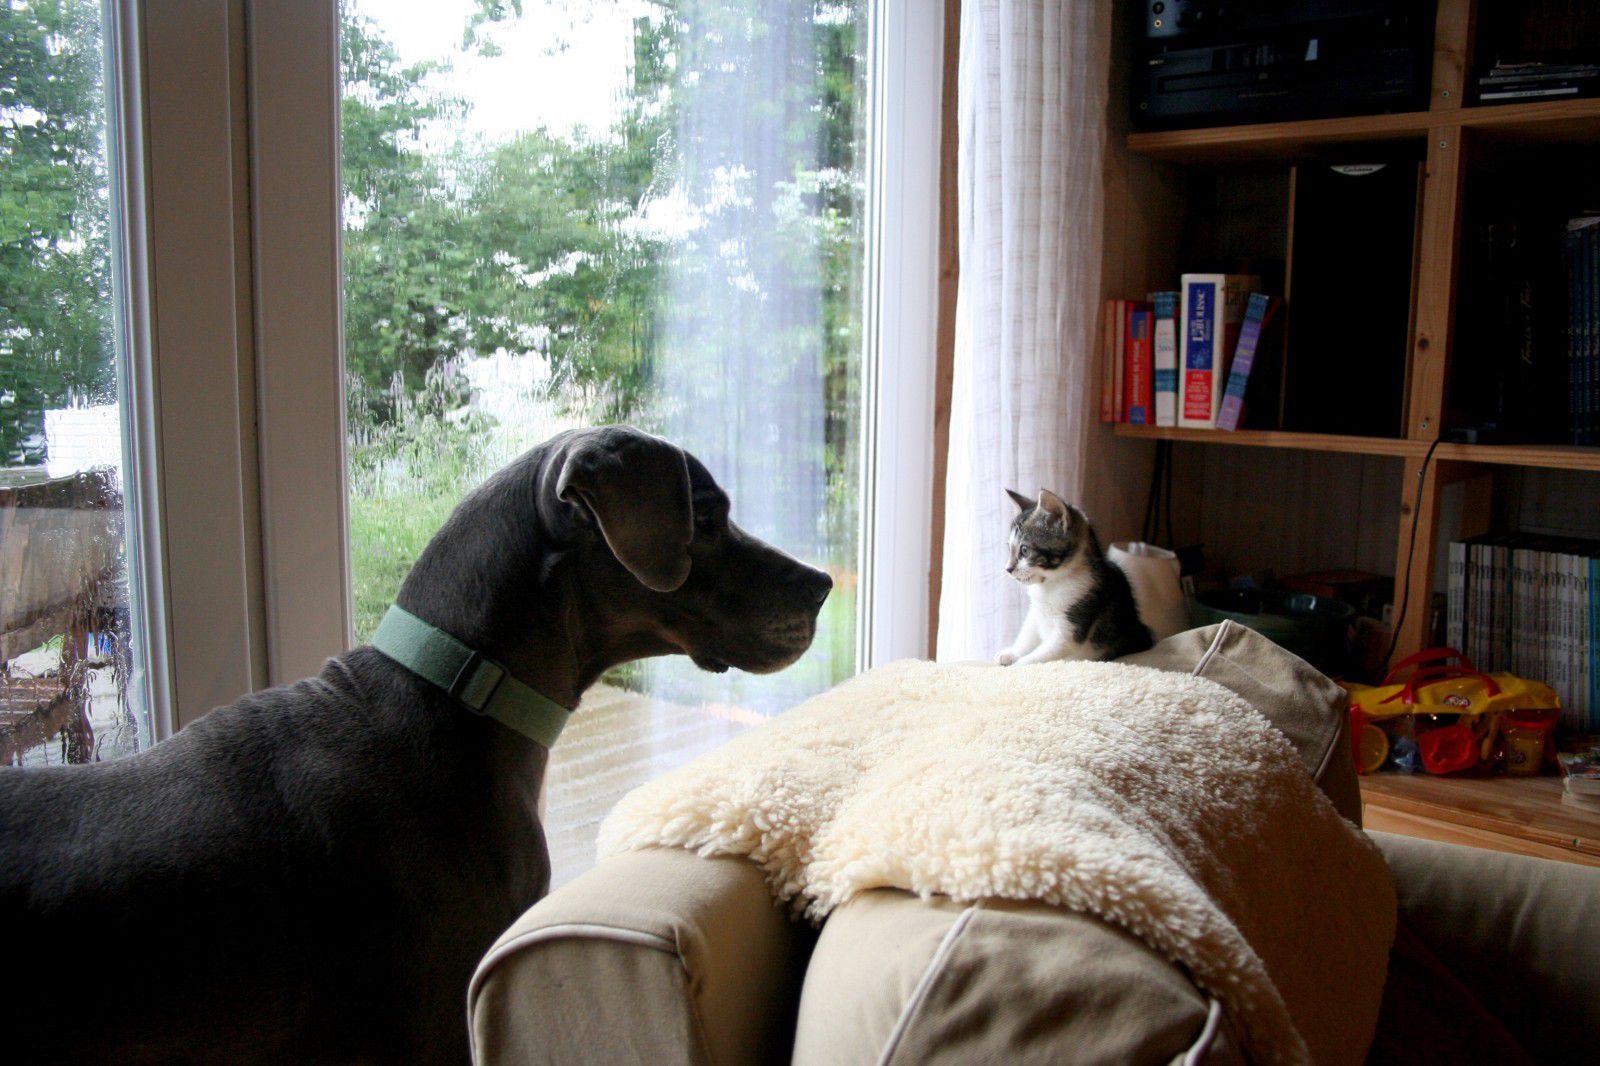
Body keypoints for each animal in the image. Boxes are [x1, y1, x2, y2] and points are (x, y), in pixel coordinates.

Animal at [998, 489, 1152, 665]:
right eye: (1009, 548)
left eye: (1024, 550)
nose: (1008, 568)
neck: (1051, 584)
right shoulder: (1035, 612)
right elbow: (1027, 635)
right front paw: (1012, 653)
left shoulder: (1074, 622)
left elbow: (1047, 652)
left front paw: (1019, 664)